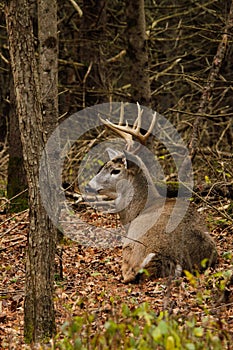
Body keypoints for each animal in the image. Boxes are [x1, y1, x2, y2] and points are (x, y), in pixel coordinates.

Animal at [86, 104, 218, 284]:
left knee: (128, 274)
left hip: (132, 245)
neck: (141, 208)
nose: (88, 186)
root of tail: (170, 256)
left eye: (115, 171)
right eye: (103, 166)